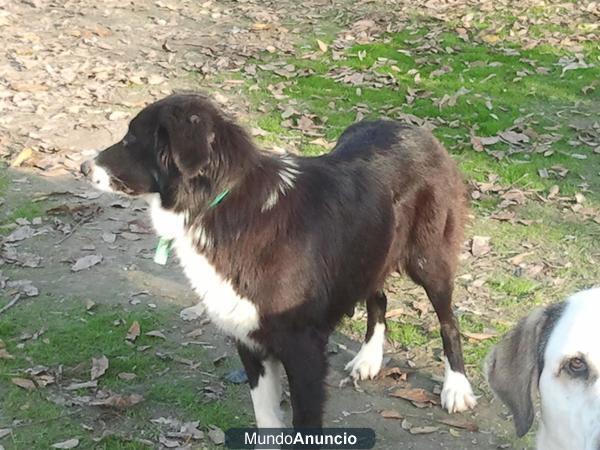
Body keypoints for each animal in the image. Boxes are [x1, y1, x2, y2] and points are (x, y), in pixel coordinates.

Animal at [82, 94, 478, 426]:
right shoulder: (249, 340)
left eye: (131, 139)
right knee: (377, 296)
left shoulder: (304, 350)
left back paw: (456, 387)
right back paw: (369, 357)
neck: (221, 204)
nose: (84, 167)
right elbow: (267, 420)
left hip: (428, 261)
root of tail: (416, 130)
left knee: (448, 321)